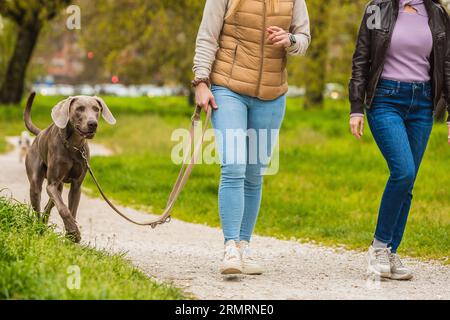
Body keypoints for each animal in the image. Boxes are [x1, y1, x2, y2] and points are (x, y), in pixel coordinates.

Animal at [24, 92, 116, 242]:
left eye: (96, 109)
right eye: (79, 108)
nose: (93, 124)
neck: (74, 145)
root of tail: (40, 133)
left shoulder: (76, 186)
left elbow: (72, 210)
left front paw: (71, 236)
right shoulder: (52, 184)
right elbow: (64, 209)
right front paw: (73, 231)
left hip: (59, 187)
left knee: (49, 205)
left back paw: (44, 224)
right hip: (36, 184)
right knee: (38, 204)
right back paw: (38, 228)